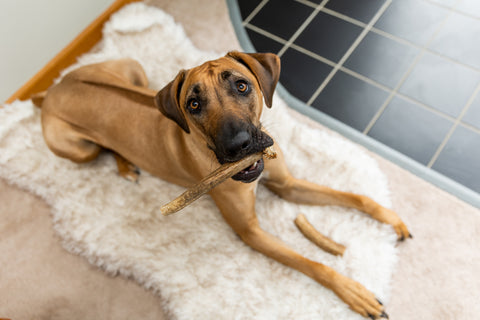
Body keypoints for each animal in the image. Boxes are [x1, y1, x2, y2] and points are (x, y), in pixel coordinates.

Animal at [33, 53, 408, 318]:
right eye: (193, 104)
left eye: (242, 86)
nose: (239, 145)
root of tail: (51, 91)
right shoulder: (250, 232)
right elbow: (313, 264)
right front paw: (354, 292)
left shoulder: (286, 184)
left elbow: (355, 197)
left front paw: (390, 218)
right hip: (77, 148)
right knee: (101, 148)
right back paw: (124, 165)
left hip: (133, 70)